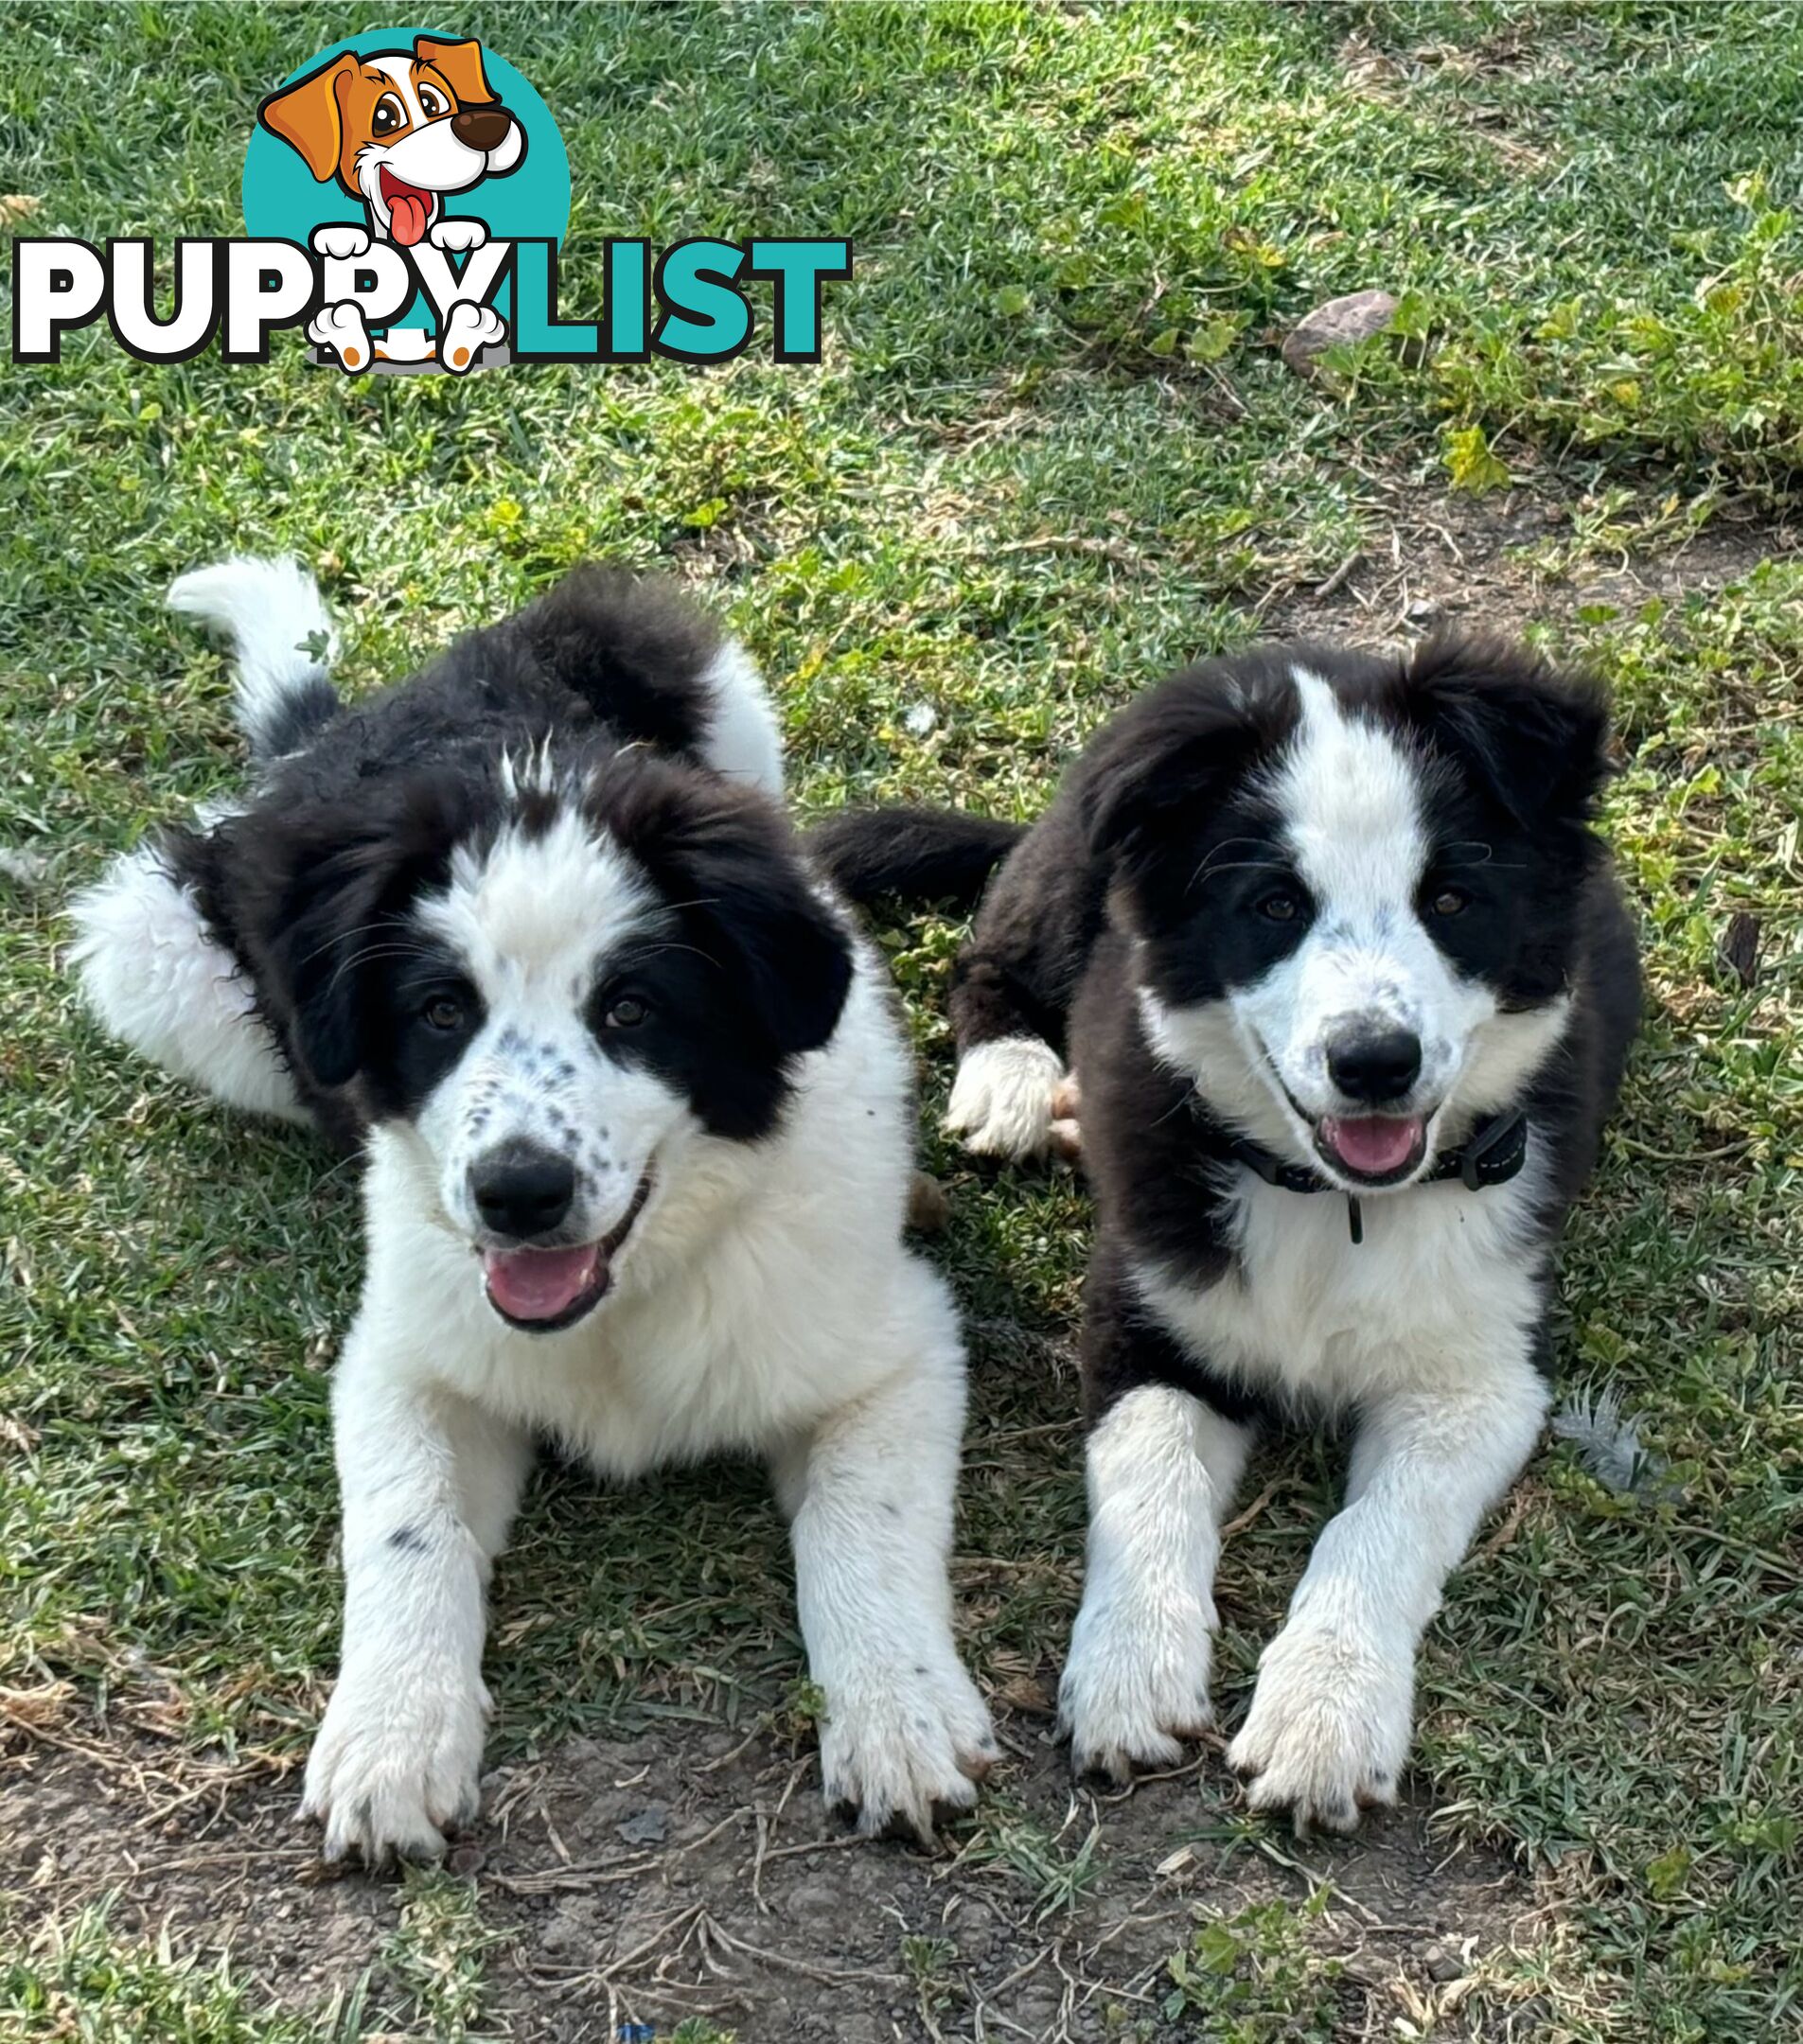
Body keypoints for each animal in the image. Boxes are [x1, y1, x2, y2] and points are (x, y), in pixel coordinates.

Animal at [73, 559, 998, 1872]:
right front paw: (392, 1738)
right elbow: (405, 1530)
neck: (637, 1293)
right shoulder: (406, 1359)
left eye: (632, 1010)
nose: (517, 1195)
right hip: (160, 962)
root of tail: (344, 729)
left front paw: (899, 1711)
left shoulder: (896, 1347)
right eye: (441, 1012)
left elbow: (864, 1520)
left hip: (704, 687)